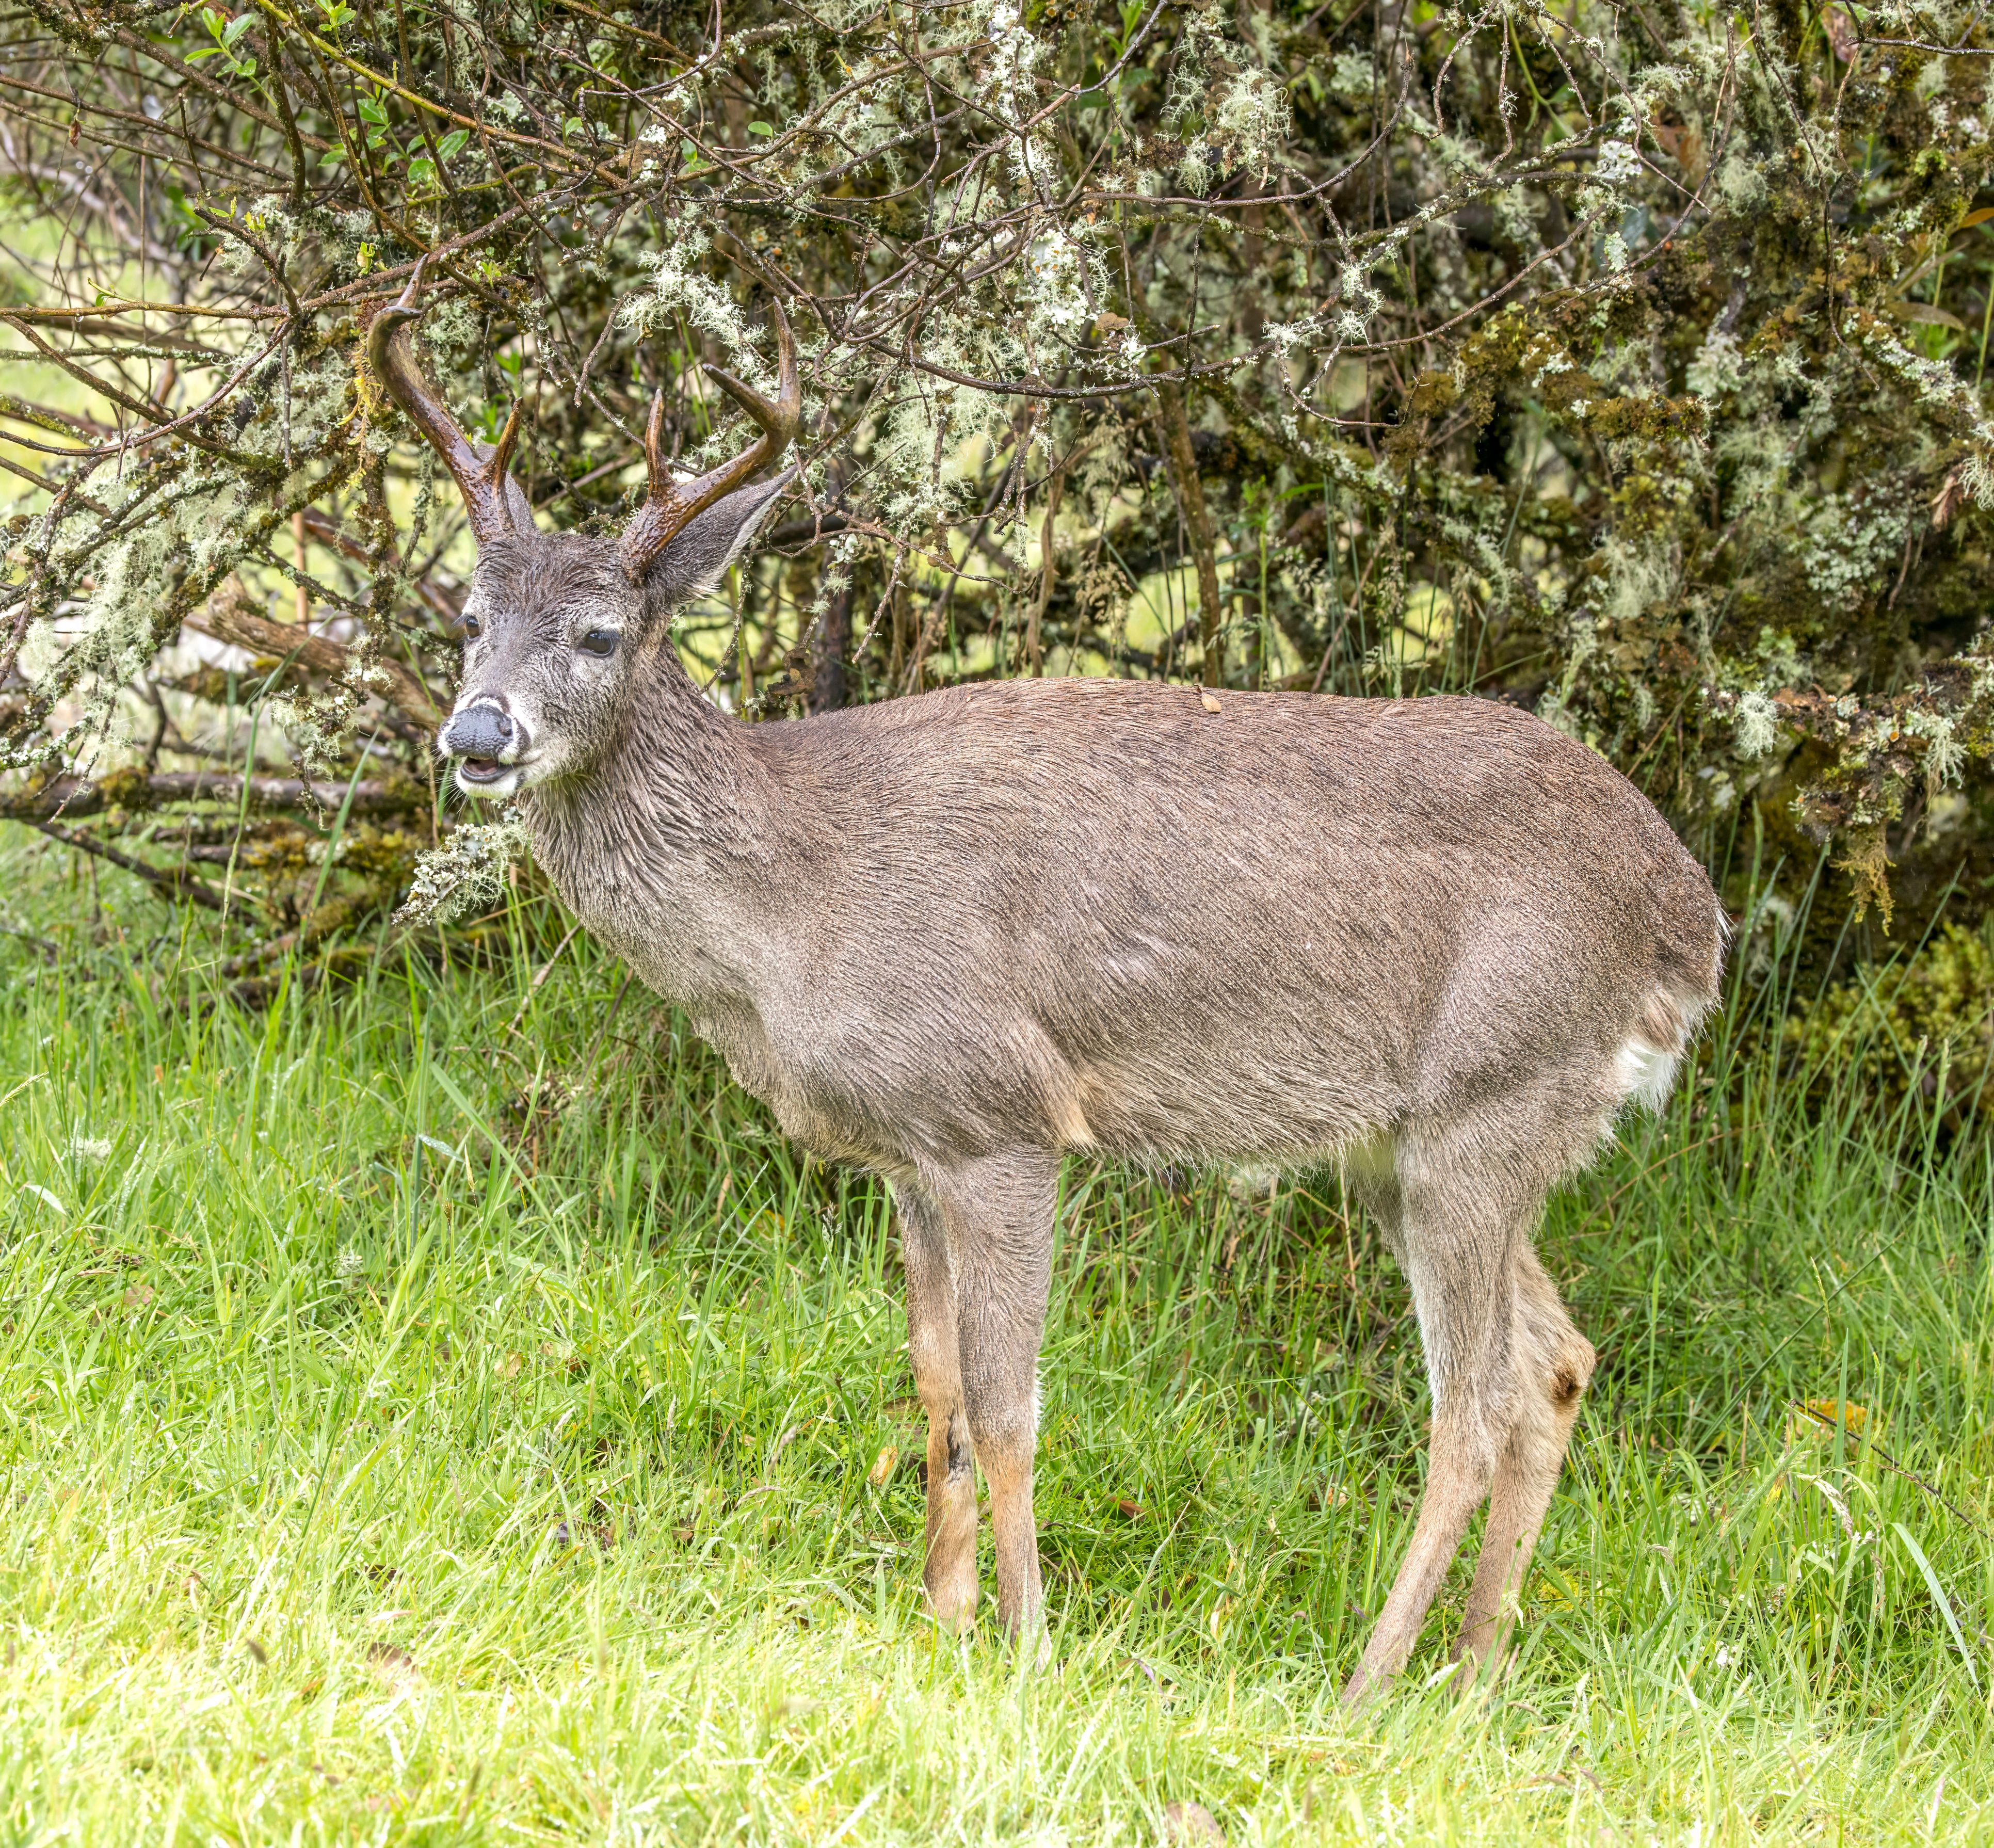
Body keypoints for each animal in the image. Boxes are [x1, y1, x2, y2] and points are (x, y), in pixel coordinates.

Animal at [368, 266, 1725, 1704]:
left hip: (1491, 1094)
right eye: (468, 619)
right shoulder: (905, 1150)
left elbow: (1010, 1404)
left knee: (1474, 1405)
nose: (477, 732)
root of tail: (1687, 919)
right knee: (1558, 1361)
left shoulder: (1000, 1114)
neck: (796, 901)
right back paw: (1471, 1673)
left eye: (599, 631)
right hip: (1418, 1142)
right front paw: (943, 1619)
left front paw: (1023, 1641)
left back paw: (1368, 1688)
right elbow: (936, 1390)